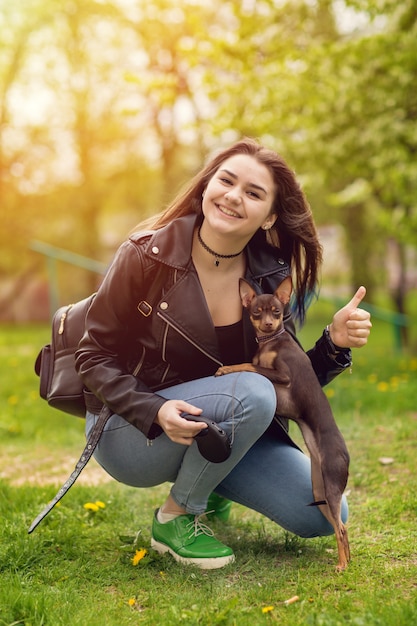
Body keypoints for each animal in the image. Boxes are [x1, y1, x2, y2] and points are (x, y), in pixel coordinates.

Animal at [216, 276, 350, 568]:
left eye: (277, 312)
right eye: (257, 312)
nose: (268, 324)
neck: (272, 341)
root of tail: (345, 455)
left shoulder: (282, 377)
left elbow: (249, 366)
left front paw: (227, 368)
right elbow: (252, 364)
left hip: (332, 486)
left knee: (341, 529)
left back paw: (343, 565)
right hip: (320, 492)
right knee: (340, 527)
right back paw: (345, 560)